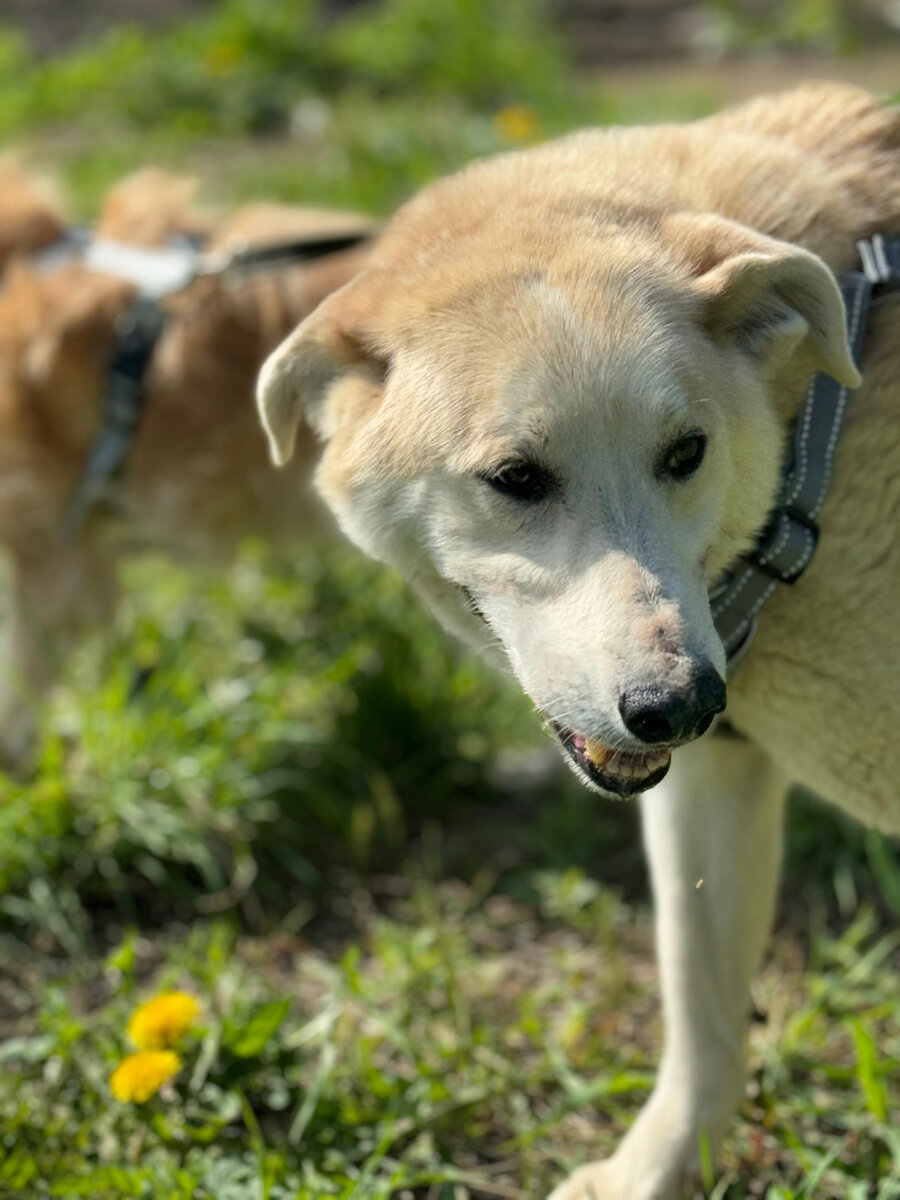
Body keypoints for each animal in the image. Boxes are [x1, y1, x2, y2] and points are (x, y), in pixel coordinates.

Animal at [259, 79, 900, 1195]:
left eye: (687, 453)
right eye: (516, 478)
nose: (681, 704)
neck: (815, 446)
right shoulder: (712, 779)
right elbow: (703, 999)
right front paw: (658, 1170)